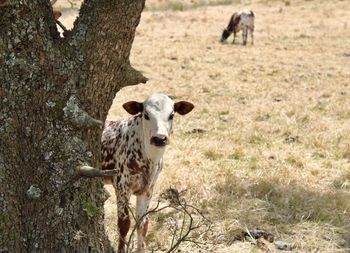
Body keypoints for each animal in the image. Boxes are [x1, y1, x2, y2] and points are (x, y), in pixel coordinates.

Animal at [101, 94, 194, 252]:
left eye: (171, 115)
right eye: (146, 115)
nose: (159, 138)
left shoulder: (148, 189)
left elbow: (142, 223)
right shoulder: (122, 186)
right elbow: (124, 224)